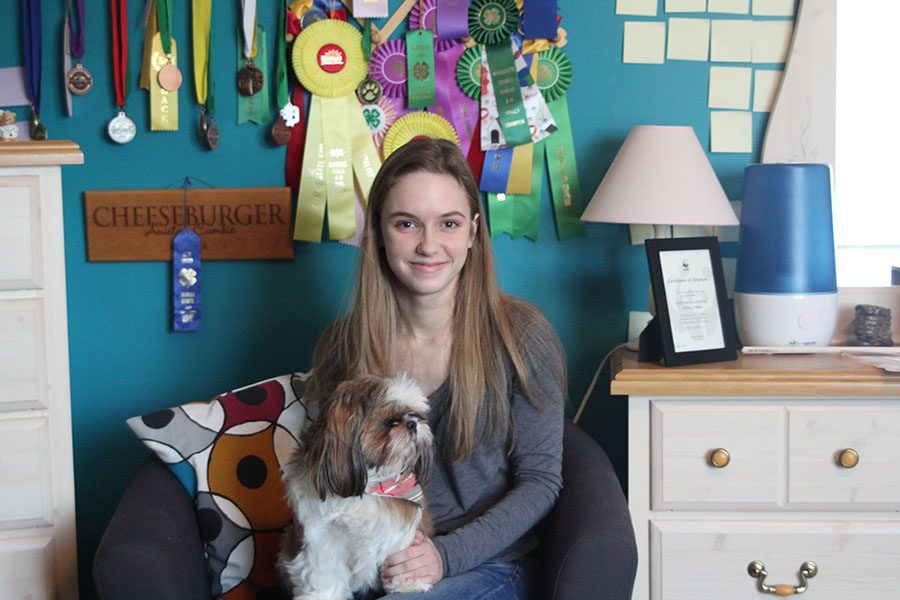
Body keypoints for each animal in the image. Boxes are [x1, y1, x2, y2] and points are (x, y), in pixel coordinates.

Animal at [282, 372, 436, 596]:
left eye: (414, 415)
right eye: (390, 421)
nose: (413, 424)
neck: (369, 487)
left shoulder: (399, 532)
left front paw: (406, 583)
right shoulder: (321, 537)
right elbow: (324, 572)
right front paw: (323, 594)